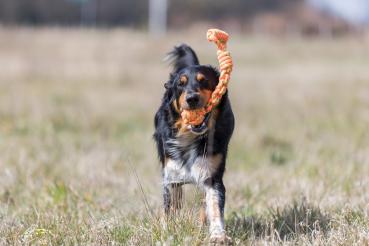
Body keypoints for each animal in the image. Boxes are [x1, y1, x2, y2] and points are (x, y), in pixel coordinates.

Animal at [152, 44, 233, 244]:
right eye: (180, 84)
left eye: (204, 81)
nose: (192, 98)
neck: (190, 136)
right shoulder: (171, 173)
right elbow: (170, 207)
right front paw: (168, 231)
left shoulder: (211, 174)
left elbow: (214, 206)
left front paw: (218, 235)